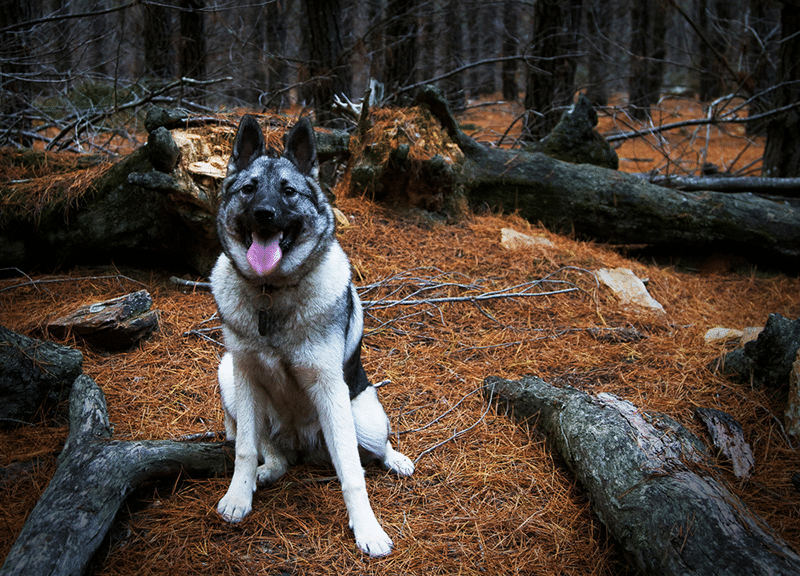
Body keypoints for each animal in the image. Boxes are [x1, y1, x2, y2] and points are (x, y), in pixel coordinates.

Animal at [209, 115, 416, 556]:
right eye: (249, 188)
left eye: (289, 191)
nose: (264, 214)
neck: (271, 293)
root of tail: (303, 445)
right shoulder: (245, 377)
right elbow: (244, 449)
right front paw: (238, 496)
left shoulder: (329, 387)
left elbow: (352, 473)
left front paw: (368, 530)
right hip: (227, 376)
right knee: (273, 453)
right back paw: (267, 471)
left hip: (363, 416)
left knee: (374, 448)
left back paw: (395, 459)